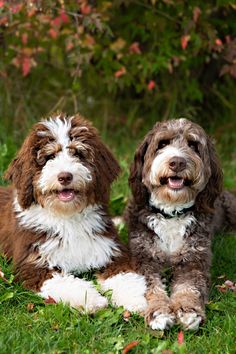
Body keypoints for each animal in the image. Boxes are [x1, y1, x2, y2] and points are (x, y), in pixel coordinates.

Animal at [0, 112, 148, 312]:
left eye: (77, 153)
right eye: (49, 157)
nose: (65, 176)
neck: (67, 217)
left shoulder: (113, 251)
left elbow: (125, 275)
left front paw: (135, 300)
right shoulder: (33, 265)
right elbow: (64, 283)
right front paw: (92, 300)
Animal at [126, 117, 235, 330]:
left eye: (193, 145)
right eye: (162, 144)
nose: (177, 162)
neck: (171, 212)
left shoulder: (193, 260)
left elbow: (189, 287)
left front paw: (188, 311)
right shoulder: (144, 258)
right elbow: (151, 287)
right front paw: (159, 312)